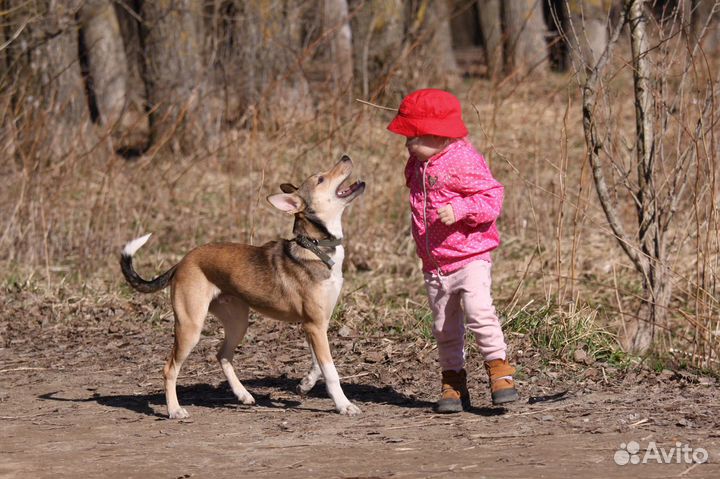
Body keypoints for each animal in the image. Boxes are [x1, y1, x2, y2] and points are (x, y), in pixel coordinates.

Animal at [120, 156, 366, 418]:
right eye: (320, 179)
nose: (346, 157)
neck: (315, 247)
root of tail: (181, 263)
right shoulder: (314, 325)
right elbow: (330, 371)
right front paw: (343, 404)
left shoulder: (316, 325)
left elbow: (318, 364)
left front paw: (305, 384)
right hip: (190, 326)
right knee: (170, 369)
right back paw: (175, 410)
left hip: (237, 322)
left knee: (222, 355)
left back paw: (243, 394)